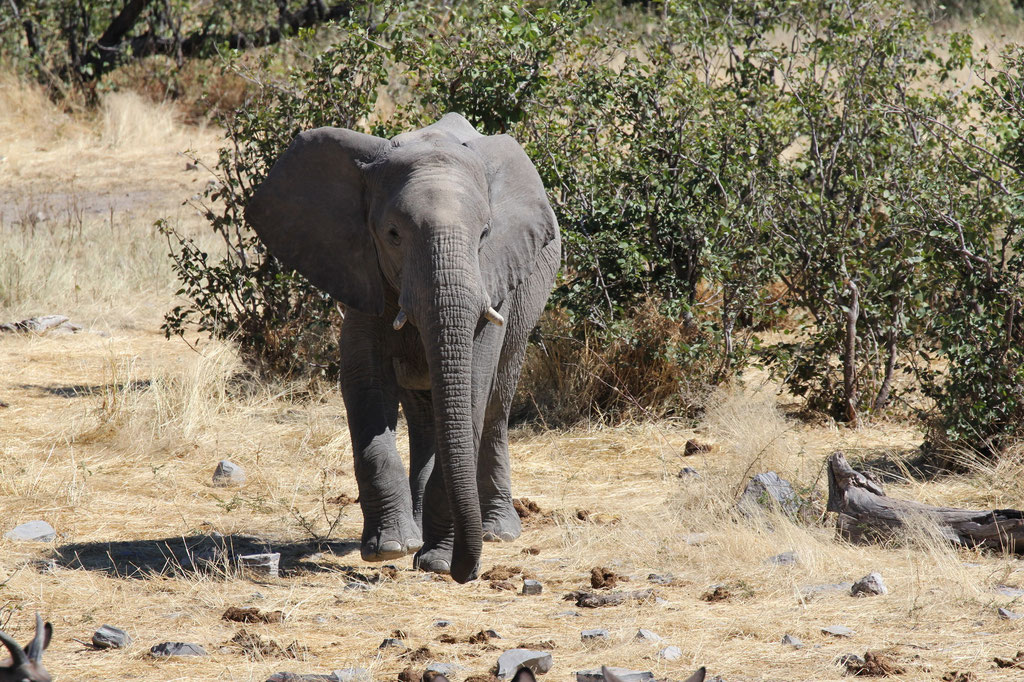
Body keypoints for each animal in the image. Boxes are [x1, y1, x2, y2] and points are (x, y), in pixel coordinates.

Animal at [245, 113, 560, 583]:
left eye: (484, 234)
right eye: (393, 234)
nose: (466, 572)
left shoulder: (494, 280)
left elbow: (473, 384)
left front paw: (436, 561)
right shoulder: (357, 270)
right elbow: (364, 381)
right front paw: (390, 549)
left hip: (525, 303)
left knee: (496, 402)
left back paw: (496, 532)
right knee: (426, 417)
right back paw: (417, 532)